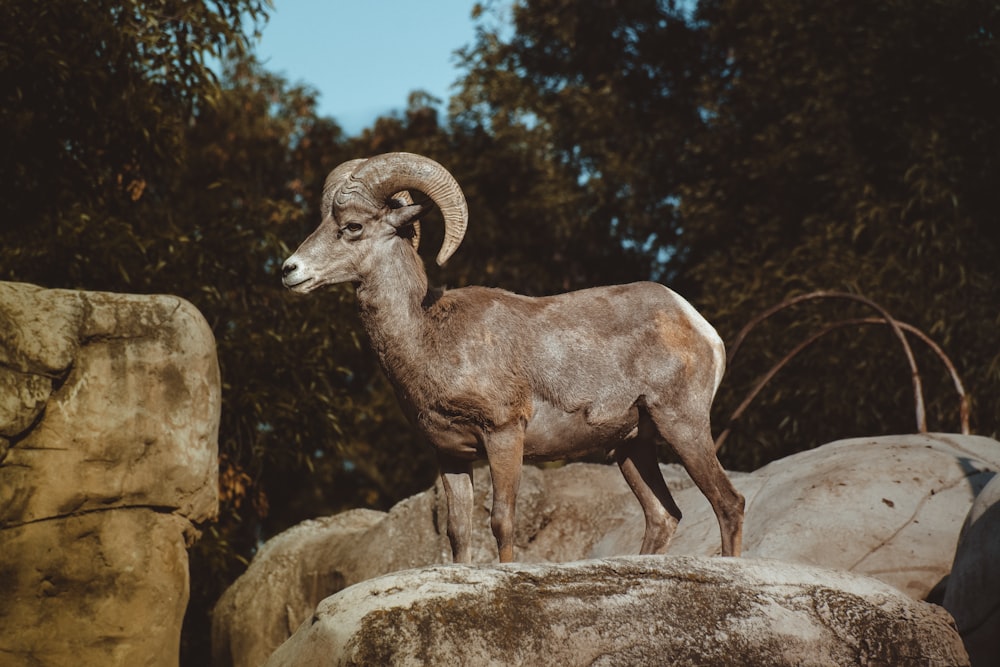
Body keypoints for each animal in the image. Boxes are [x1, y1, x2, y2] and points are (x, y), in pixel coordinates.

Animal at [282, 153, 744, 564]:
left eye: (352, 227)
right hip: (631, 448)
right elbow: (457, 532)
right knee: (663, 516)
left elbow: (501, 523)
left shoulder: (504, 435)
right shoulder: (451, 455)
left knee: (728, 502)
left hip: (682, 425)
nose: (289, 270)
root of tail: (696, 323)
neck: (428, 335)